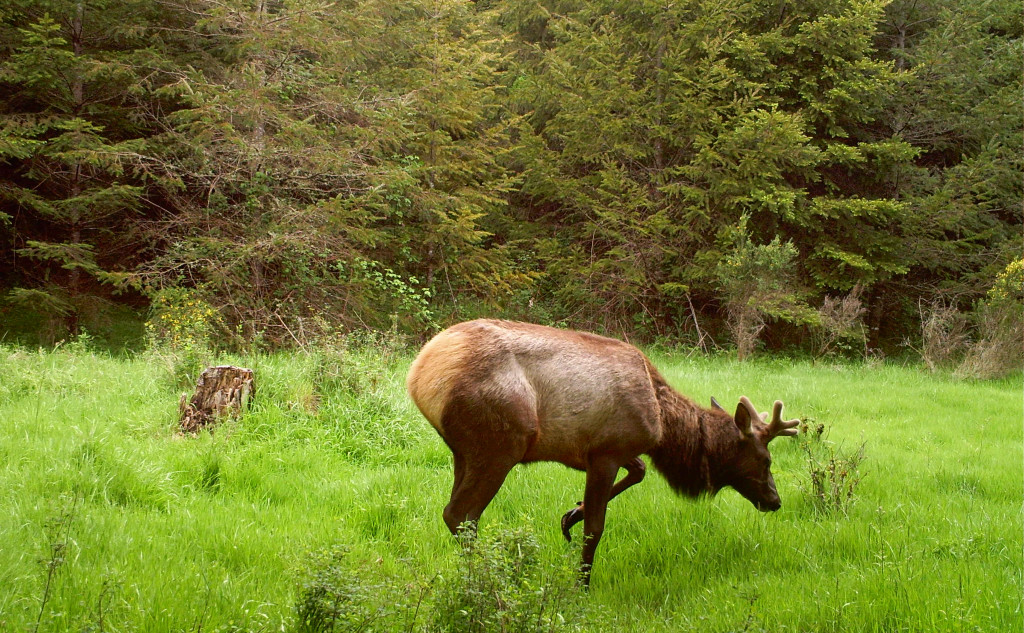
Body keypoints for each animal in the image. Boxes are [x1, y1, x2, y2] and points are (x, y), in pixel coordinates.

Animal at [405, 317, 798, 585]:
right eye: (765, 459)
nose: (775, 500)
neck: (664, 426)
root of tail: (420, 375)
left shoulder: (605, 452)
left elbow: (638, 471)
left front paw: (570, 514)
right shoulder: (607, 452)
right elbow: (595, 529)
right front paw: (581, 584)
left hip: (463, 453)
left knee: (458, 513)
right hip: (500, 446)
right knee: (461, 515)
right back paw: (488, 580)